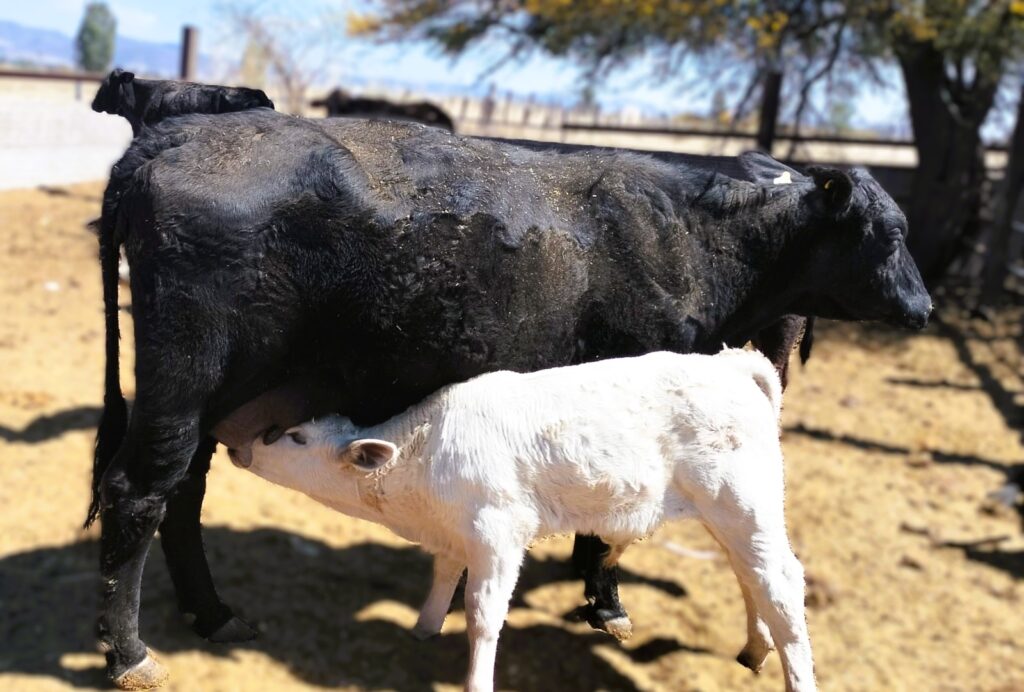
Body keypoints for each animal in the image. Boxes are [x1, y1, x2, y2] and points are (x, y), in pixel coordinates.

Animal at [240, 350, 815, 692]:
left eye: (296, 438)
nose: (245, 446)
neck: (424, 451)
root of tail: (732, 365)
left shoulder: (499, 532)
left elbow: (482, 613)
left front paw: (475, 680)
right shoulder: (455, 531)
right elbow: (443, 574)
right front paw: (423, 628)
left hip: (744, 503)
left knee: (781, 583)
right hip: (731, 513)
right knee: (750, 576)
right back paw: (754, 648)